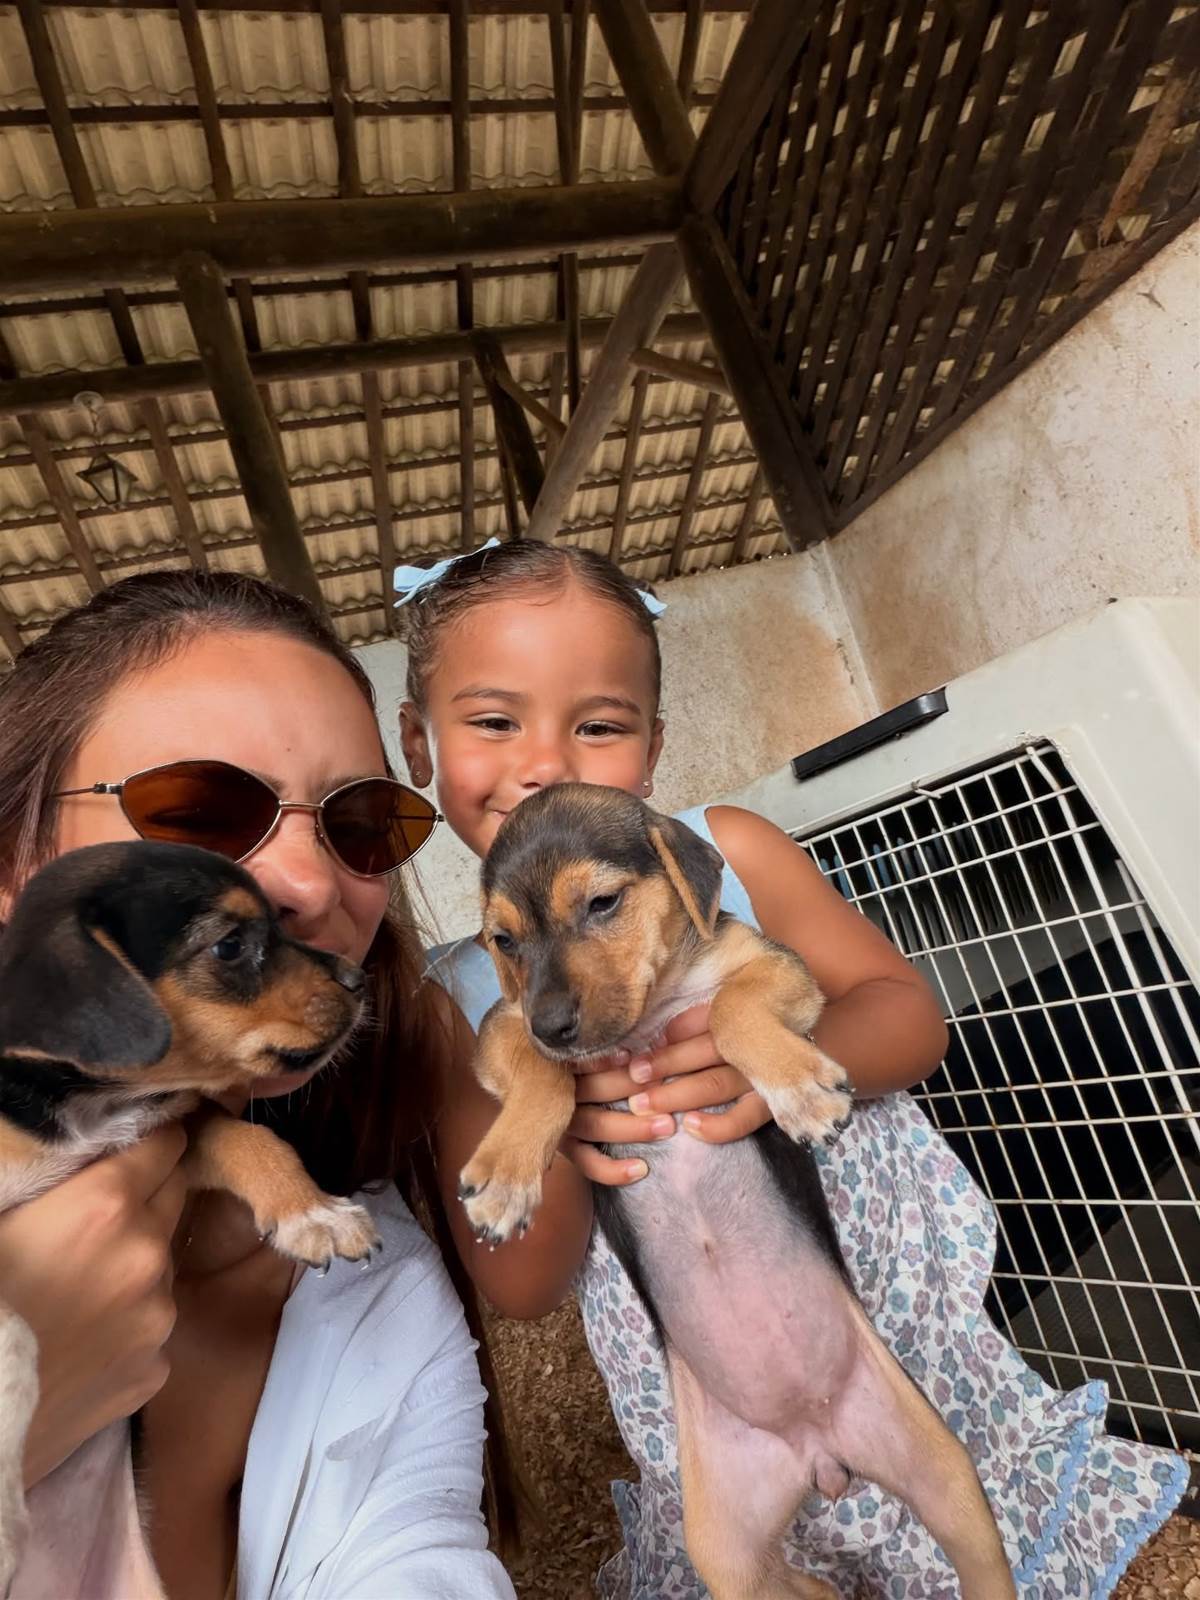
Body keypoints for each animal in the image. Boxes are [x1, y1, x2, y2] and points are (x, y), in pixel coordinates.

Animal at [0, 839, 380, 1594]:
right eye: (230, 945)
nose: (360, 977)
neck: (88, 1105)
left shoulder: (176, 1128)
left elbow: (252, 1138)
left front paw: (314, 1212)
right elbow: (14, 1333)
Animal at [459, 785, 1016, 1600]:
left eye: (602, 903)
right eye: (503, 941)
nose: (554, 1025)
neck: (650, 1013)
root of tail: (818, 1450)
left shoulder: (776, 968)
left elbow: (727, 1009)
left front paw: (797, 1088)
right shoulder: (505, 1026)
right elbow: (539, 1074)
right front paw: (507, 1174)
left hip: (949, 1479)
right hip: (723, 1546)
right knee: (804, 1587)